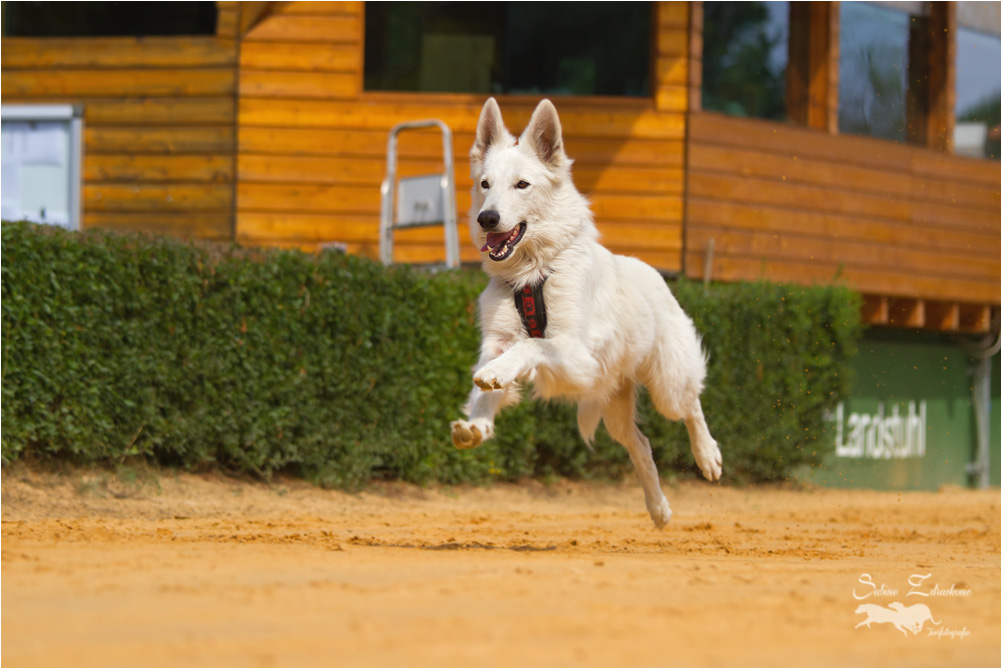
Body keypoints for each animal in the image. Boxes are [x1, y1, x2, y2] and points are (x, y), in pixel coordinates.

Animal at [449, 98, 722, 529]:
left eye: (522, 185)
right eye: (485, 184)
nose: (486, 219)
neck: (534, 273)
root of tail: (659, 278)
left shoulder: (576, 355)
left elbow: (532, 347)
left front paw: (496, 379)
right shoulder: (497, 343)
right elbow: (485, 389)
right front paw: (477, 426)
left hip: (667, 386)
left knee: (691, 404)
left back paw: (707, 457)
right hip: (613, 406)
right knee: (641, 446)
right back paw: (659, 510)